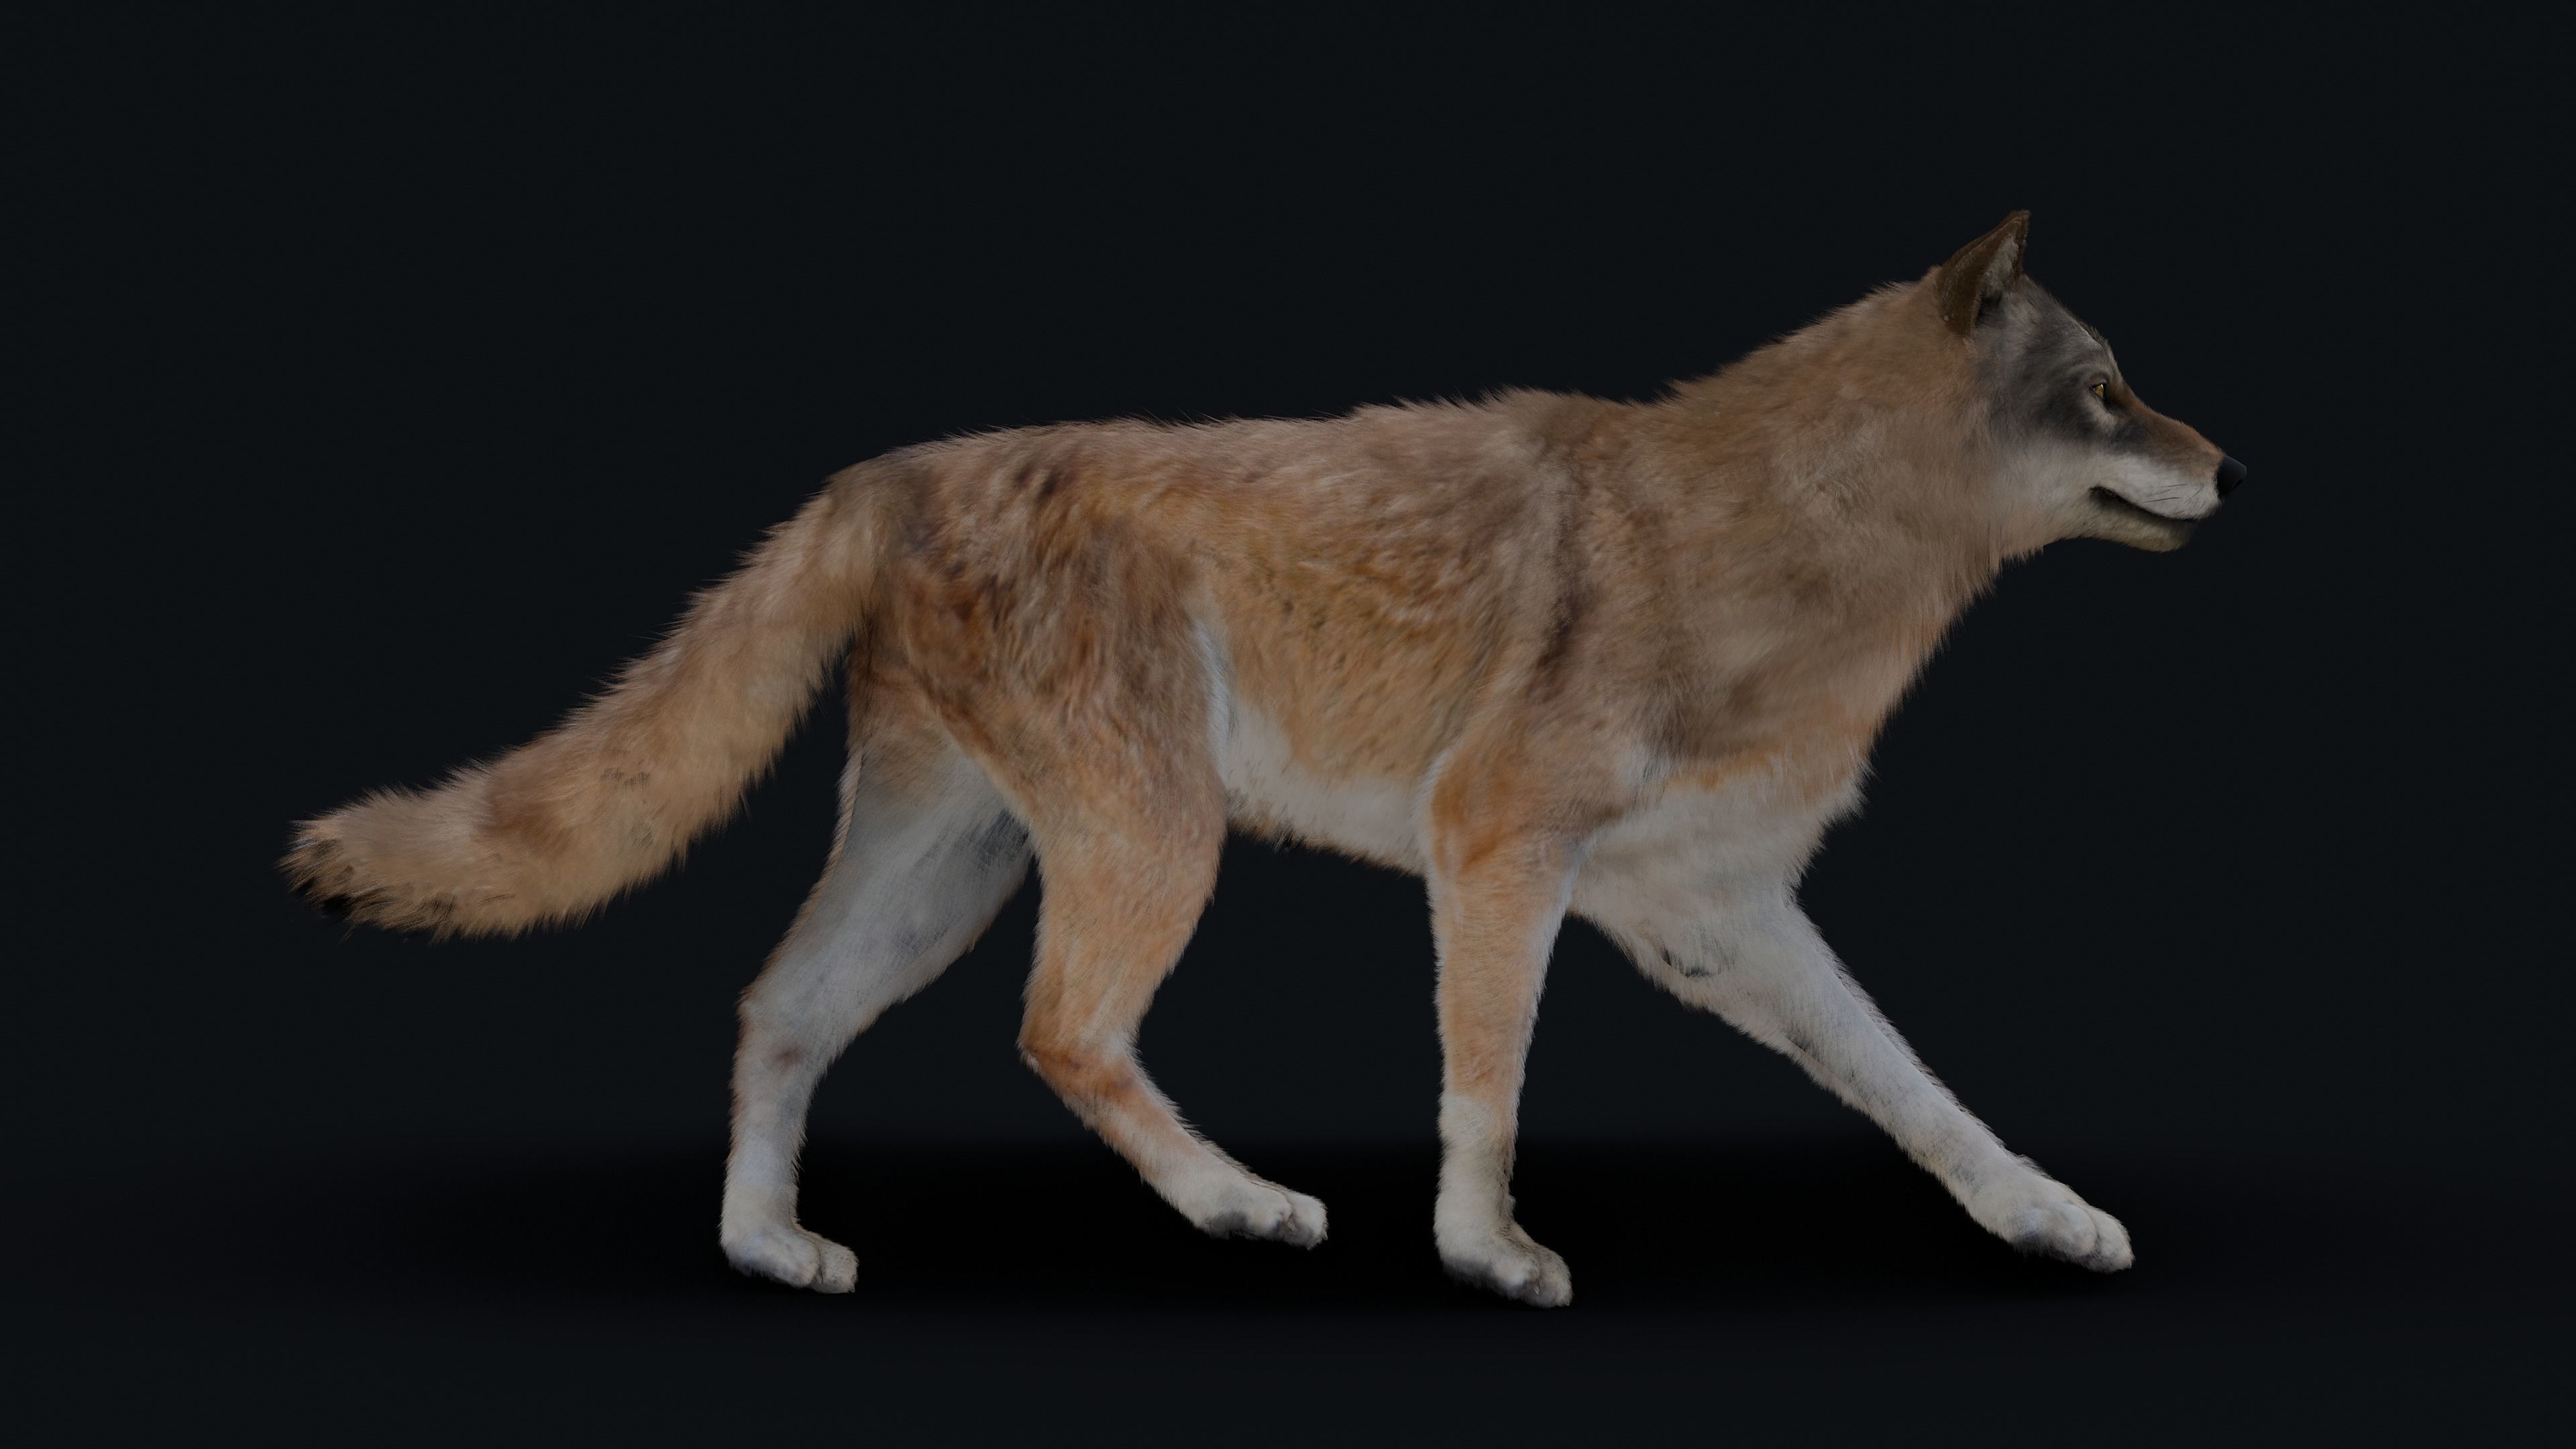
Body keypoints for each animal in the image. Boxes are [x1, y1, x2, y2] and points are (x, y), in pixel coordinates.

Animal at [287, 213, 2243, 1305]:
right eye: (2109, 390)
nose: (2235, 464)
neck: (1791, 550)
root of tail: (900, 464)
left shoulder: (1716, 918)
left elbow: (1919, 1089)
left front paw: (2043, 1216)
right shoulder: (1493, 852)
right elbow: (1485, 1085)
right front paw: (1483, 1254)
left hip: (956, 869)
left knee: (780, 1008)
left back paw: (770, 1250)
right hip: (1150, 847)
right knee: (1058, 1031)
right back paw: (1236, 1202)